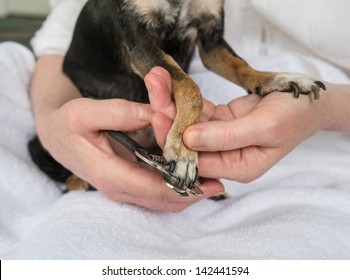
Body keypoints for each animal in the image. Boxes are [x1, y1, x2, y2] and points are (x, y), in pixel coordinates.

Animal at [28, 0, 326, 192]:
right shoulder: (142, 43)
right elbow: (189, 86)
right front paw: (183, 149)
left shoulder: (210, 40)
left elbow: (241, 66)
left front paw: (275, 79)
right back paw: (79, 181)